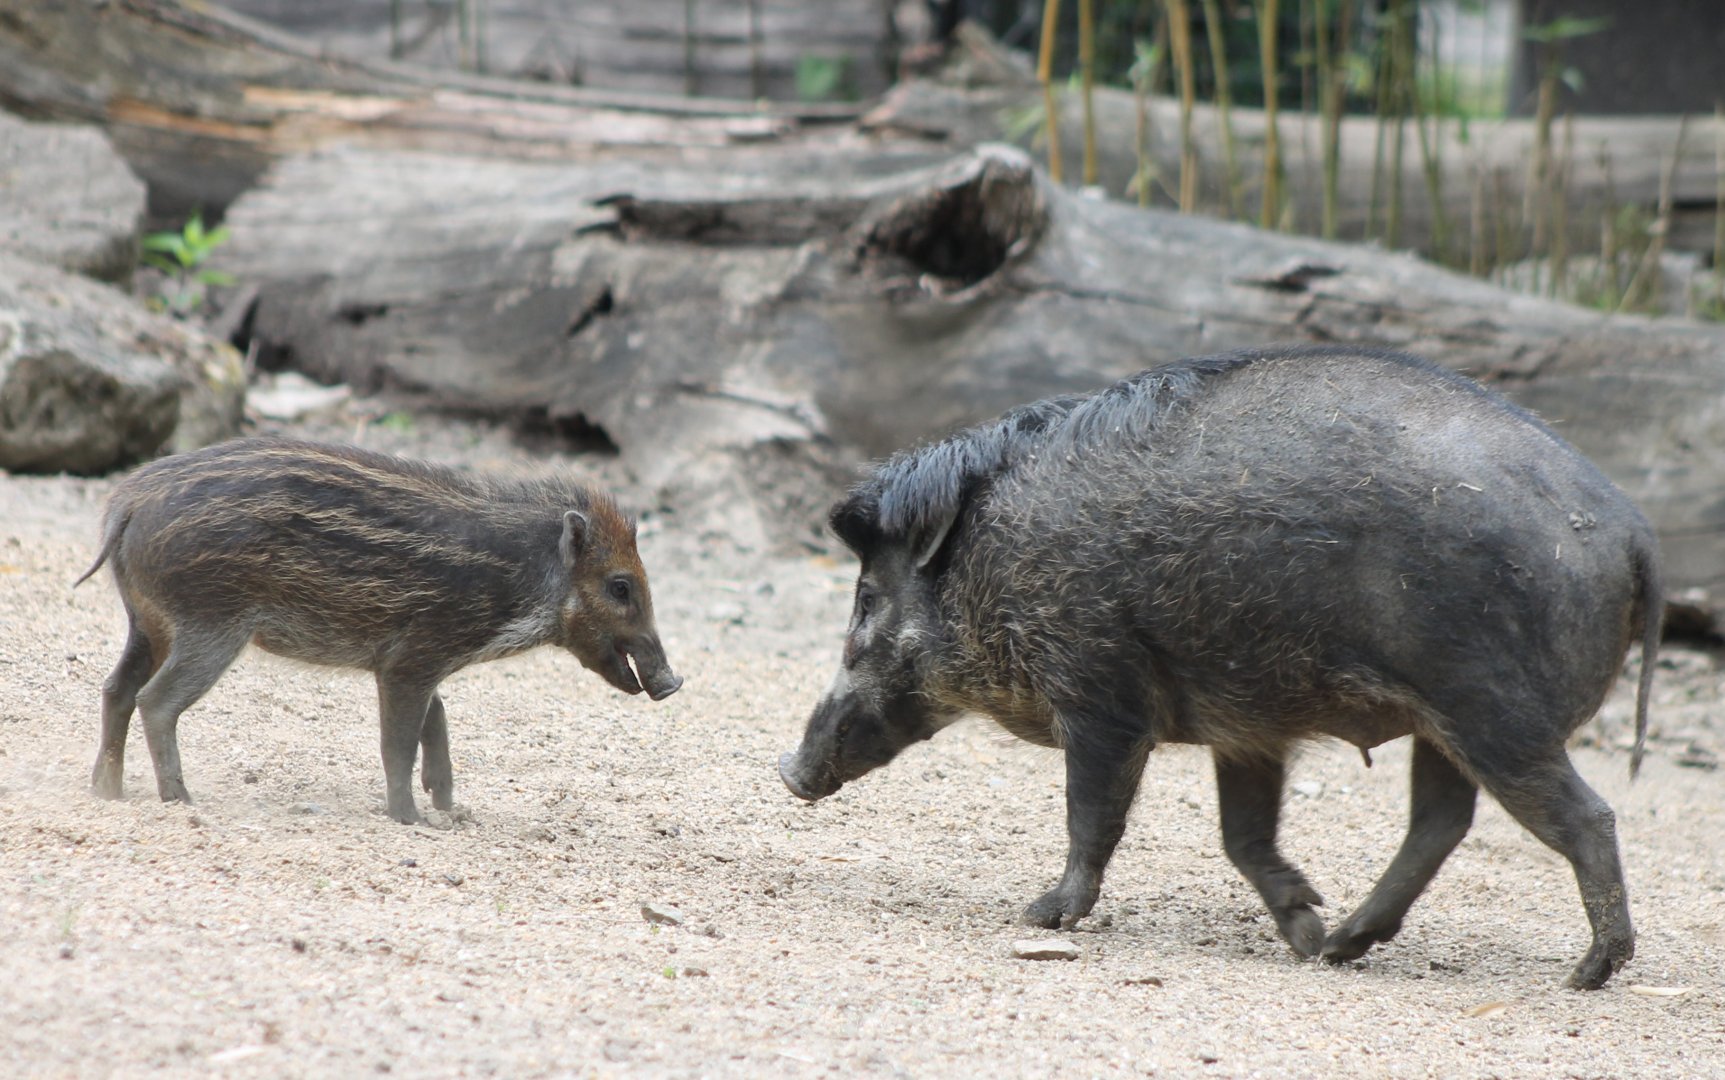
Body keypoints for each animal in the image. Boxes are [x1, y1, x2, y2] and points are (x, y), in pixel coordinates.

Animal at [77, 436, 681, 824]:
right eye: (621, 586)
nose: (673, 683)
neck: (518, 574)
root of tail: (127, 504)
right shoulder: (411, 659)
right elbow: (400, 742)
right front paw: (411, 818)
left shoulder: (419, 663)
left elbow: (436, 724)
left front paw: (453, 811)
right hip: (211, 626)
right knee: (156, 701)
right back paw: (181, 801)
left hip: (148, 624)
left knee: (115, 689)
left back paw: (107, 793)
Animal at [780, 345, 1660, 990]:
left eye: (866, 599)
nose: (787, 770)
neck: (992, 566)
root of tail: (1630, 529)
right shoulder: (1245, 732)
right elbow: (1240, 833)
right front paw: (1302, 927)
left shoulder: (1099, 693)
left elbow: (1091, 814)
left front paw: (1039, 915)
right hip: (1445, 723)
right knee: (1441, 821)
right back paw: (1339, 947)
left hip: (1491, 708)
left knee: (1585, 817)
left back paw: (1586, 973)